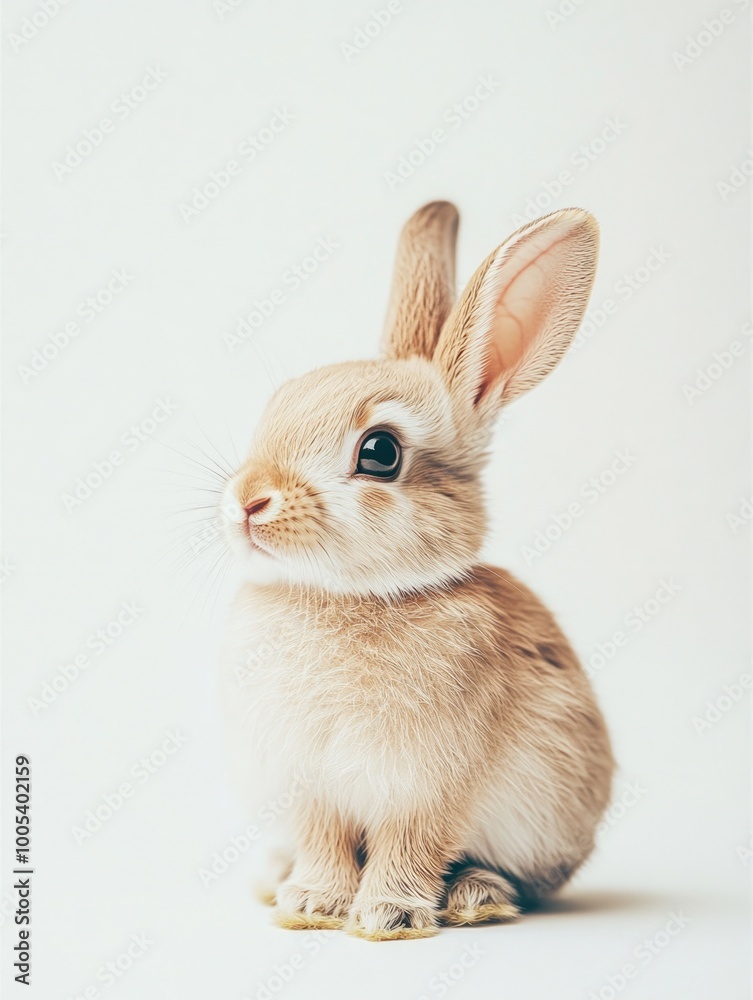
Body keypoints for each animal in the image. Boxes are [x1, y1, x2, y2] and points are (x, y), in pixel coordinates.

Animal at [219, 201, 614, 940]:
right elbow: (322, 840)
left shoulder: (429, 785)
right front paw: (310, 905)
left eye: (379, 452)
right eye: (277, 405)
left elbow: (413, 842)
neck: (356, 594)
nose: (248, 500)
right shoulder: (312, 785)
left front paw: (389, 916)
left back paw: (475, 896)